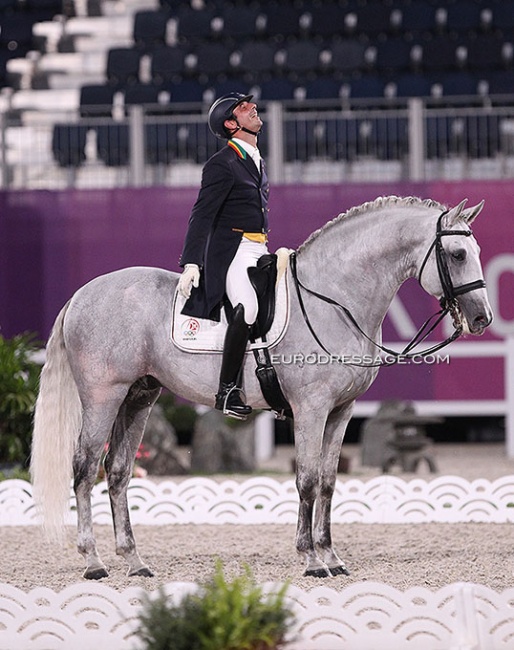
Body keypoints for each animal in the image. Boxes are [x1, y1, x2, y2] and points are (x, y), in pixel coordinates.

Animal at [30, 194, 490, 576]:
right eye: (457, 253)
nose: (481, 318)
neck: (334, 299)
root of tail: (82, 294)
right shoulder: (311, 408)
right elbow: (306, 479)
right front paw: (310, 560)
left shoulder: (341, 412)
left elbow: (328, 482)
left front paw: (332, 557)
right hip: (103, 396)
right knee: (85, 468)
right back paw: (93, 562)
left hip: (139, 396)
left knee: (118, 472)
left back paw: (135, 562)